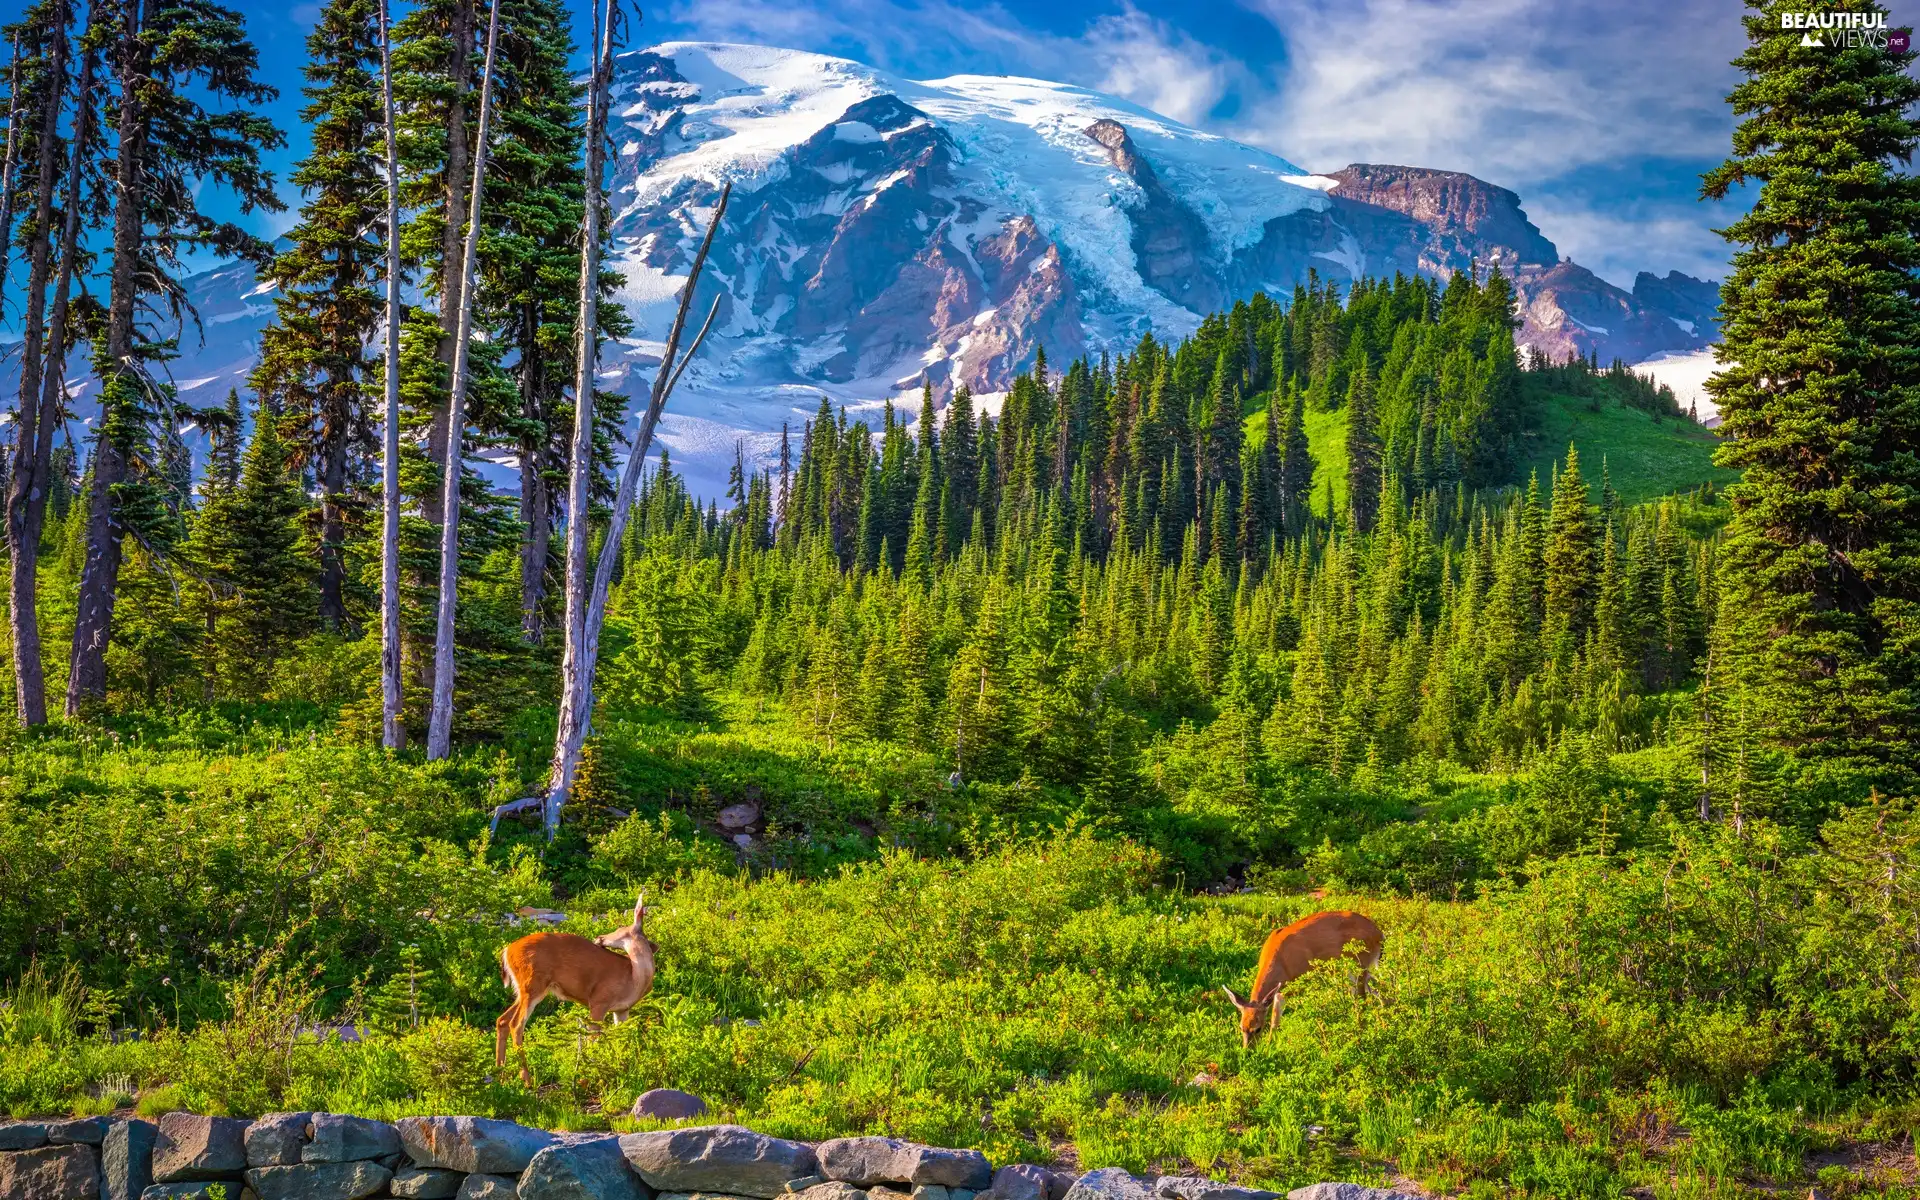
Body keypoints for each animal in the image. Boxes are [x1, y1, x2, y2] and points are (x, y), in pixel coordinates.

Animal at [491, 890, 656, 1082]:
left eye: (619, 927)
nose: (599, 937)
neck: (634, 978)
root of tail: (507, 950)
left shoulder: (622, 1010)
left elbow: (619, 1039)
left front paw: (621, 1069)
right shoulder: (598, 1001)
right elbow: (593, 1039)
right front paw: (589, 1076)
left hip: (526, 990)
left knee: (502, 1020)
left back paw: (500, 1075)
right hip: (532, 985)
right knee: (516, 1025)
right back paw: (526, 1078)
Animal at [1228, 913, 1382, 1044]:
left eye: (1258, 1029)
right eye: (1241, 1027)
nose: (1248, 1050)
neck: (1281, 962)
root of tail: (1379, 934)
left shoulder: (1304, 980)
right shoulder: (1281, 990)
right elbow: (1275, 1019)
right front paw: (1269, 1045)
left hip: (1360, 964)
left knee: (1363, 999)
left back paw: (1361, 1033)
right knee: (1378, 992)